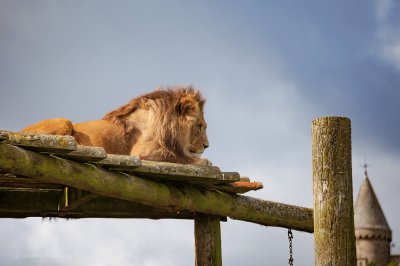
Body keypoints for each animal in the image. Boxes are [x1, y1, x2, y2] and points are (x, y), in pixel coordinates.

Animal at [21, 87, 211, 165]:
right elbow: (177, 156)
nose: (206, 146)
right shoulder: (142, 152)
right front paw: (204, 161)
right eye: (199, 126)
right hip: (64, 121)